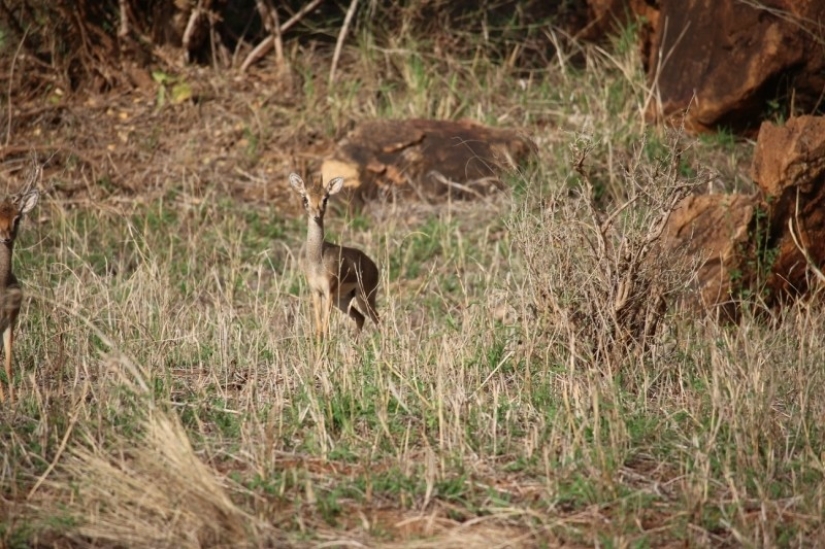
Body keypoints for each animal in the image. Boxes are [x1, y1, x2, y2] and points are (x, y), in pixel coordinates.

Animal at [290, 172, 380, 338]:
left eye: (325, 198)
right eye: (305, 198)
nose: (316, 214)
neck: (317, 260)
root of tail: (373, 266)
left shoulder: (329, 291)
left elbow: (326, 327)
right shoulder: (316, 291)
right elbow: (319, 328)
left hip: (364, 297)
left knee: (378, 319)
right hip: (343, 300)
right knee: (360, 317)